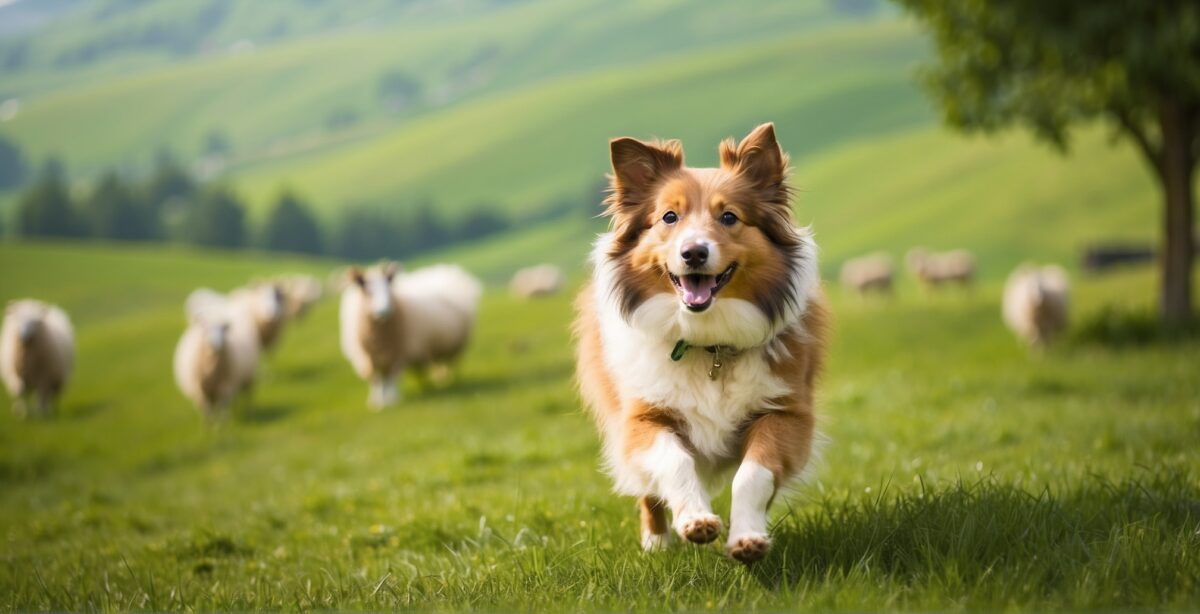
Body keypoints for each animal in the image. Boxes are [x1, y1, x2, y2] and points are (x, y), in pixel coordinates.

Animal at [171, 290, 258, 419]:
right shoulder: (201, 392)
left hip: (247, 378)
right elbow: (207, 413)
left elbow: (223, 409)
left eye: (223, 329)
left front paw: (222, 423)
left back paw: (246, 412)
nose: (217, 344)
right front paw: (209, 424)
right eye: (206, 330)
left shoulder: (226, 387)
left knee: (245, 397)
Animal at [338, 261, 482, 410]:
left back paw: (447, 380)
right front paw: (377, 403)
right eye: (368, 291)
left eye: (389, 289)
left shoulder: (399, 353)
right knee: (436, 364)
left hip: (455, 345)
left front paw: (392, 400)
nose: (384, 312)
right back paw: (434, 381)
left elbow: (392, 378)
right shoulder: (367, 357)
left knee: (450, 363)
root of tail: (445, 271)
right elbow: (376, 380)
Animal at [571, 124, 825, 566]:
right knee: (646, 491)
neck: (709, 345)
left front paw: (747, 538)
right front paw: (695, 520)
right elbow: (674, 461)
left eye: (729, 217)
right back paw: (657, 543)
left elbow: (753, 474)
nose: (693, 253)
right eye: (669, 217)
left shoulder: (785, 413)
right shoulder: (643, 417)